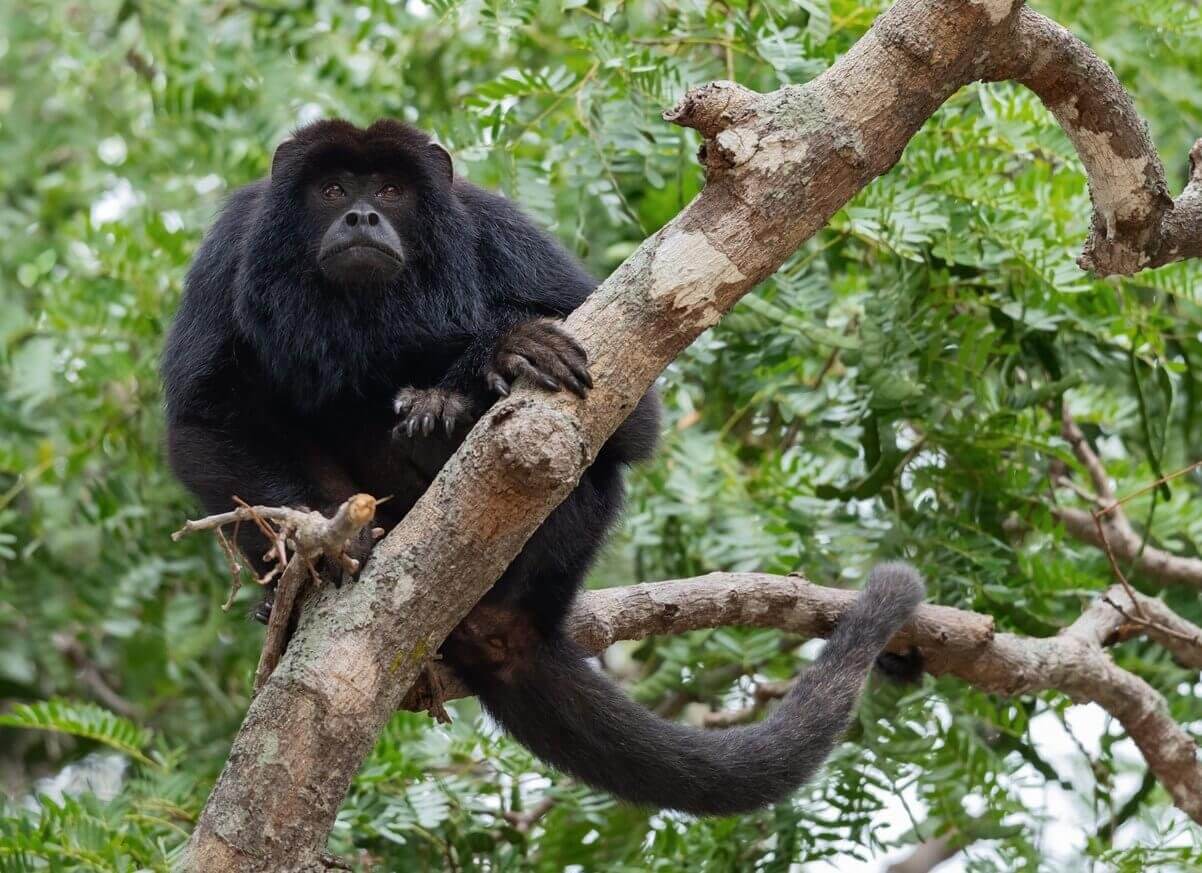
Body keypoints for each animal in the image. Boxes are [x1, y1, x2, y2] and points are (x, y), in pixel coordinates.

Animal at [161, 118, 925, 816]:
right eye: (331, 190)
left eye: (390, 190)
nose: (361, 215)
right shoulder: (235, 242)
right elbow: (206, 418)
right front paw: (328, 539)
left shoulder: (499, 231)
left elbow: (636, 419)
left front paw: (499, 354)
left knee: (588, 464)